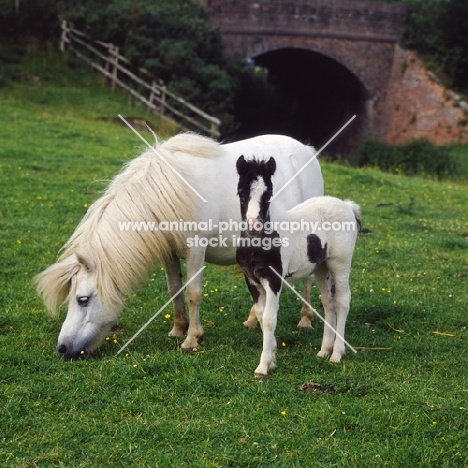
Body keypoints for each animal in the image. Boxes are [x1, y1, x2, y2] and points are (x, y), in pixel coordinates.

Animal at [36, 132, 324, 358]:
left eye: (82, 299)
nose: (62, 349)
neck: (166, 193)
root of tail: (308, 151)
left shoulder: (195, 250)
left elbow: (193, 293)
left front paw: (193, 338)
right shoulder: (169, 253)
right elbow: (174, 289)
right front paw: (177, 329)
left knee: (309, 279)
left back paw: (306, 319)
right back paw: (254, 319)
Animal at [236, 156, 360, 376]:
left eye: (268, 194)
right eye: (241, 192)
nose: (253, 226)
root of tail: (347, 206)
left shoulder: (273, 280)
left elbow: (269, 319)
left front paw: (263, 366)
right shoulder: (251, 279)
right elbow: (260, 314)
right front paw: (272, 357)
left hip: (340, 263)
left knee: (343, 300)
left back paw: (337, 353)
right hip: (321, 267)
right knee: (328, 302)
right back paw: (324, 350)